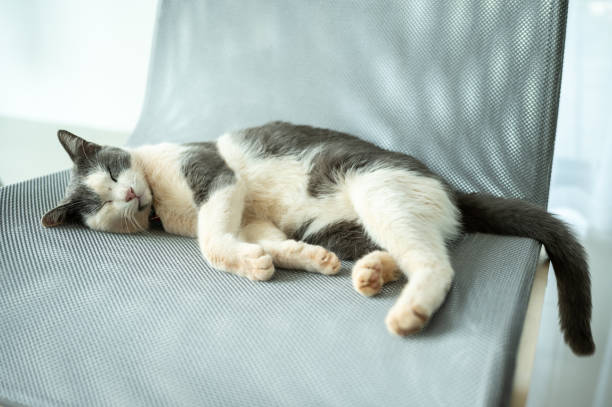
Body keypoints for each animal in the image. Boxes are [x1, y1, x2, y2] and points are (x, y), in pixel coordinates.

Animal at [39, 122, 592, 356]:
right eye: (103, 203)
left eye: (114, 172)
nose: (130, 193)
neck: (164, 204)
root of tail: (449, 188)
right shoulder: (250, 216)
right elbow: (263, 239)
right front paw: (278, 260)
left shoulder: (216, 177)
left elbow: (211, 241)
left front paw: (242, 258)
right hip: (340, 225)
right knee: (403, 249)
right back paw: (371, 271)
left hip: (377, 190)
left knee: (436, 262)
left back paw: (410, 310)